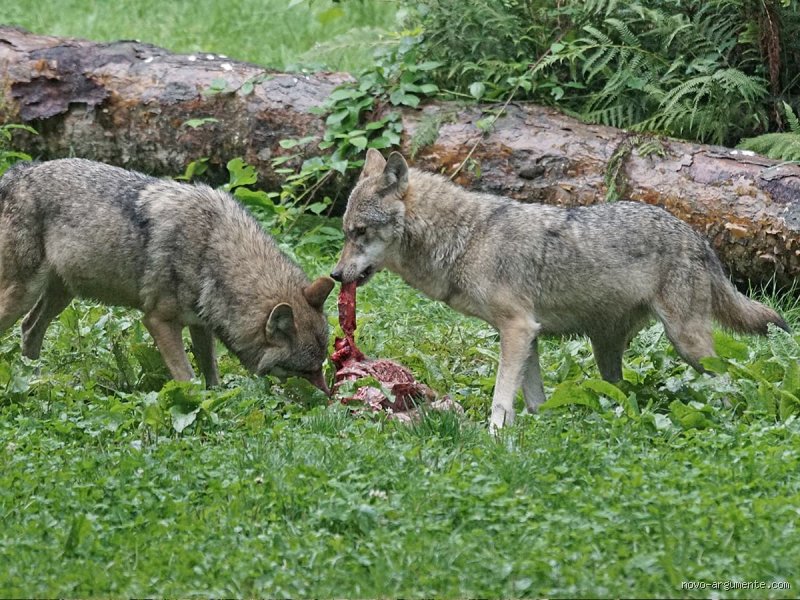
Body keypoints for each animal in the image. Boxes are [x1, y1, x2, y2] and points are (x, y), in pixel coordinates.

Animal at [0, 159, 334, 391]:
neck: (211, 247)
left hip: (61, 296)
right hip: (23, 295)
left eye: (321, 365)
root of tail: (18, 171)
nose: (328, 397)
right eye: (306, 371)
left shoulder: (201, 324)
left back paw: (35, 380)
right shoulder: (159, 321)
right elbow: (186, 377)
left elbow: (211, 372)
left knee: (29, 330)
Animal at [331, 149, 789, 429]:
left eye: (360, 232)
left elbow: (501, 397)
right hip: (607, 349)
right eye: (345, 232)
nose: (335, 275)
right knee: (618, 389)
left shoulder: (517, 329)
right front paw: (539, 426)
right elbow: (533, 398)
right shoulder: (527, 334)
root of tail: (697, 236)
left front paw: (494, 435)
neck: (466, 238)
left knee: (731, 380)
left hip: (687, 342)